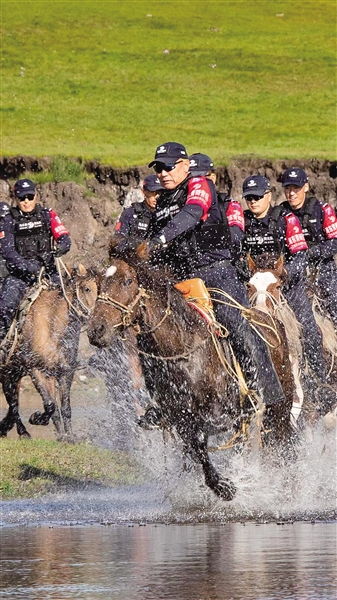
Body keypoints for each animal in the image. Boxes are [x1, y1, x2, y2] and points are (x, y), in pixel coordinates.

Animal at [0, 268, 97, 440]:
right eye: (87, 289)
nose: (97, 325)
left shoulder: (64, 372)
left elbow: (64, 408)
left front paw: (68, 437)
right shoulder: (37, 371)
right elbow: (51, 405)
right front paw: (36, 418)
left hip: (13, 374)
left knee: (13, 402)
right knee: (13, 403)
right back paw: (22, 432)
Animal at [87, 255, 294, 500]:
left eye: (128, 281)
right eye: (98, 282)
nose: (97, 330)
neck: (183, 349)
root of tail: (270, 318)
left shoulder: (218, 416)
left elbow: (202, 443)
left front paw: (225, 487)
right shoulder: (180, 418)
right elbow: (196, 449)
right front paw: (218, 485)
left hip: (279, 410)